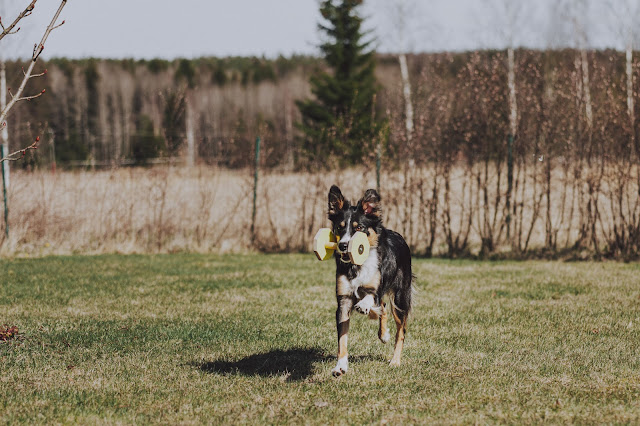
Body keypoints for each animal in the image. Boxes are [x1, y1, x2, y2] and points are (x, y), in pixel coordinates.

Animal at [328, 186, 412, 376]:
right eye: (339, 228)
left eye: (359, 228)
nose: (343, 245)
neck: (358, 264)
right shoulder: (344, 300)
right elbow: (342, 340)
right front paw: (340, 367)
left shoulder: (377, 287)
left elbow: (370, 297)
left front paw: (363, 306)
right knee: (383, 307)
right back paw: (383, 333)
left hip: (400, 297)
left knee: (401, 330)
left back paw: (395, 360)